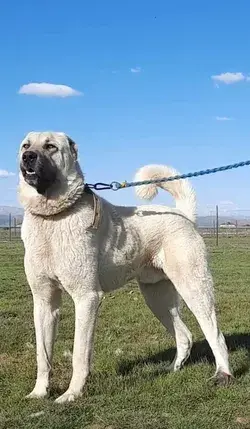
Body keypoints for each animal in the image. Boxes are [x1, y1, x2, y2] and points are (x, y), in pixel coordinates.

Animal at [18, 130, 232, 402]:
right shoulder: (44, 301)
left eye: (51, 147)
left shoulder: (87, 298)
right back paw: (171, 370)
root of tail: (183, 216)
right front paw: (39, 392)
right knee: (184, 336)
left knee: (215, 334)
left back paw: (223, 374)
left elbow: (79, 354)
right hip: (157, 298)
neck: (52, 218)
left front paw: (72, 394)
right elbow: (43, 355)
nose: (28, 156)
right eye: (25, 145)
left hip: (194, 289)